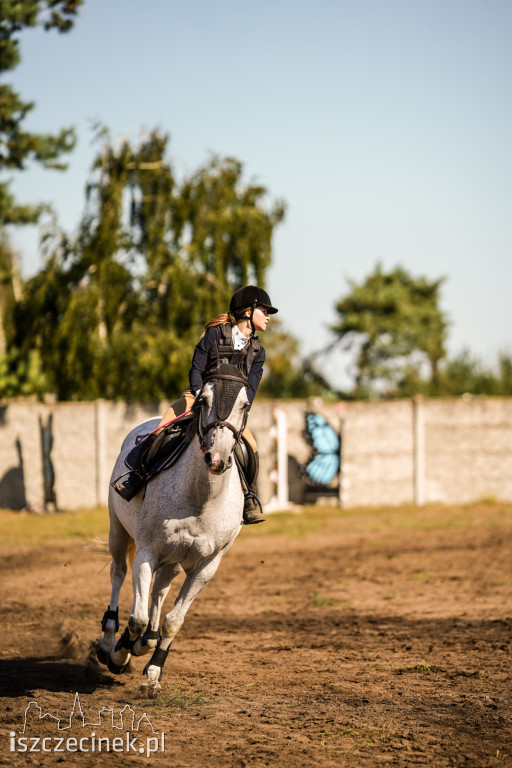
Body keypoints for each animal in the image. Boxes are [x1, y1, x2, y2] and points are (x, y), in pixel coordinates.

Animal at [97, 364, 249, 696]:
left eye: (245, 405)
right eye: (203, 400)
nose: (216, 459)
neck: (200, 498)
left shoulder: (205, 567)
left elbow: (173, 621)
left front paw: (154, 673)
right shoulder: (146, 552)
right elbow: (137, 618)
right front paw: (119, 655)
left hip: (175, 560)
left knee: (159, 589)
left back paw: (145, 643)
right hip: (118, 531)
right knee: (119, 574)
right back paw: (109, 640)